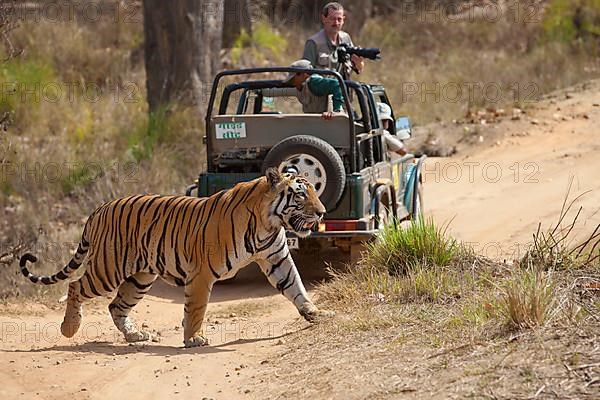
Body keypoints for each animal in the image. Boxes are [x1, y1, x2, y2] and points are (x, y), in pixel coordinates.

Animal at [18, 169, 332, 346]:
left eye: (315, 191)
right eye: (300, 195)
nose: (322, 212)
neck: (269, 223)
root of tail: (100, 208)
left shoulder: (276, 258)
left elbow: (296, 287)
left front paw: (316, 313)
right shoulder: (202, 273)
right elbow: (196, 308)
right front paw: (193, 339)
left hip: (140, 277)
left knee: (116, 306)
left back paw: (135, 336)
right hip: (107, 270)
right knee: (75, 286)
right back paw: (69, 329)